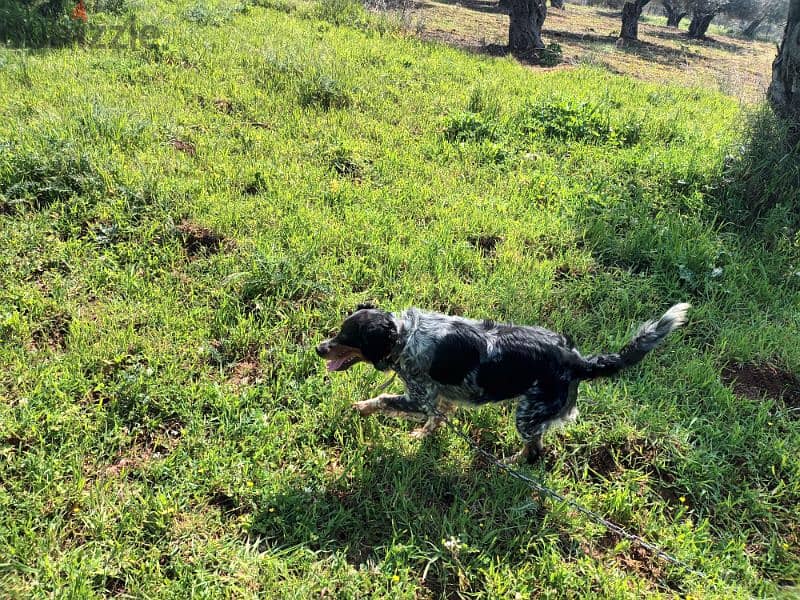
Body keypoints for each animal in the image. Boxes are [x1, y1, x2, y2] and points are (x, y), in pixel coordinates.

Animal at [318, 304, 688, 464]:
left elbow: (382, 399)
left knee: (535, 452)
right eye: (339, 331)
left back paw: (510, 463)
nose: (320, 348)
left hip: (527, 416)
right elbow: (437, 418)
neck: (405, 336)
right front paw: (423, 435)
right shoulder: (440, 396)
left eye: (347, 337)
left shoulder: (419, 396)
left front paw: (359, 407)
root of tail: (577, 360)